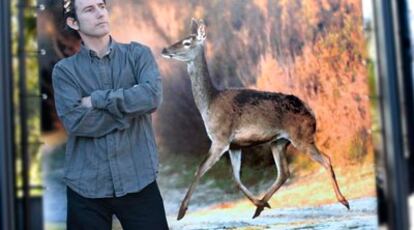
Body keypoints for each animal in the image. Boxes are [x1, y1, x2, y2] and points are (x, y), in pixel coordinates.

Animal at [162, 18, 350, 220]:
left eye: (187, 42)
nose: (165, 49)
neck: (209, 103)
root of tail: (312, 112)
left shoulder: (220, 138)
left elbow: (200, 169)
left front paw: (181, 212)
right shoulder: (235, 145)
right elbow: (236, 178)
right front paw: (260, 203)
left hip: (302, 136)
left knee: (326, 160)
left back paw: (344, 201)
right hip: (279, 142)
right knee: (284, 172)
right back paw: (260, 207)